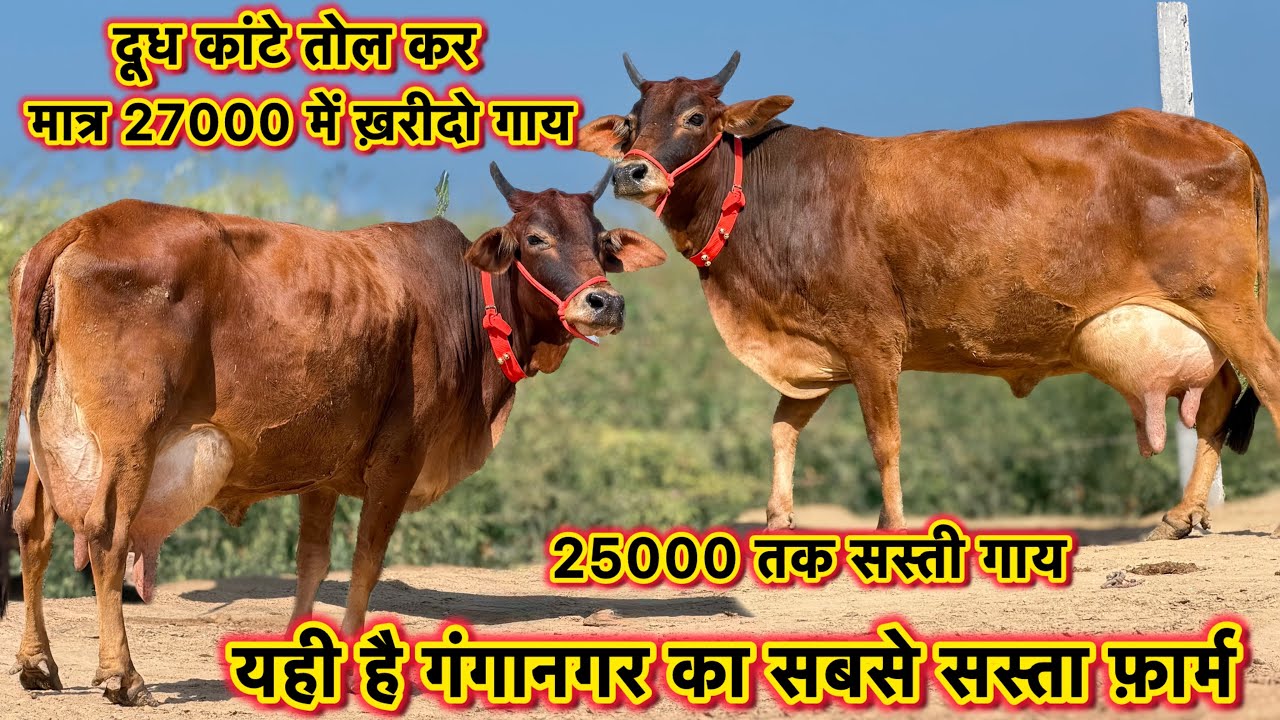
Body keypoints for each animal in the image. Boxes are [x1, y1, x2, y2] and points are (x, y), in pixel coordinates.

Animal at [0, 164, 665, 706]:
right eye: (536, 238)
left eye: (601, 243)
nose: (605, 304)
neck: (461, 303)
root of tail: (84, 225)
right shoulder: (399, 460)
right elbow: (366, 560)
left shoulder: (320, 468)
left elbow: (312, 563)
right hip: (130, 442)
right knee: (106, 537)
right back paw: (124, 676)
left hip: (50, 435)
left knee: (32, 527)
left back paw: (38, 664)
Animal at [578, 51, 1272, 541]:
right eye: (631, 125)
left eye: (697, 118)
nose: (629, 172)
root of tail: (1219, 136)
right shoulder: (813, 349)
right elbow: (780, 428)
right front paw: (777, 519)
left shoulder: (871, 340)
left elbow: (883, 439)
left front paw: (891, 525)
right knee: (1217, 399)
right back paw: (1180, 516)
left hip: (1226, 306)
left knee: (1265, 379)